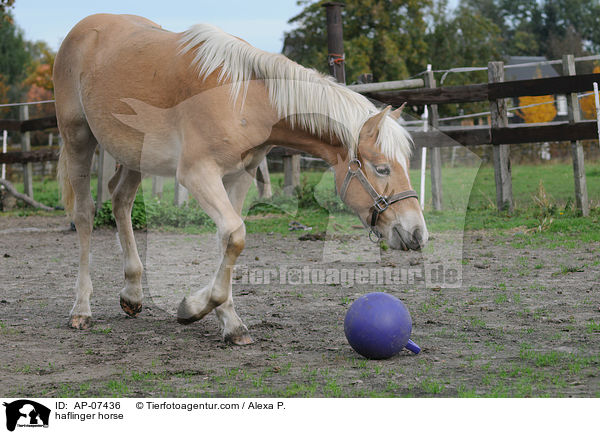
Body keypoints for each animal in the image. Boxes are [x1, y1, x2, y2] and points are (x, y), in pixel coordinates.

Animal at [52, 14, 426, 346]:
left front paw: (227, 321)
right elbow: (235, 235)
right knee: (85, 214)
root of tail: (83, 28)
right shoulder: (198, 174)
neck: (246, 97)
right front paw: (196, 309)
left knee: (121, 201)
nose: (418, 233)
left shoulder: (239, 176)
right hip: (78, 139)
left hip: (134, 156)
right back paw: (81, 309)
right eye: (382, 168)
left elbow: (228, 241)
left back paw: (132, 293)